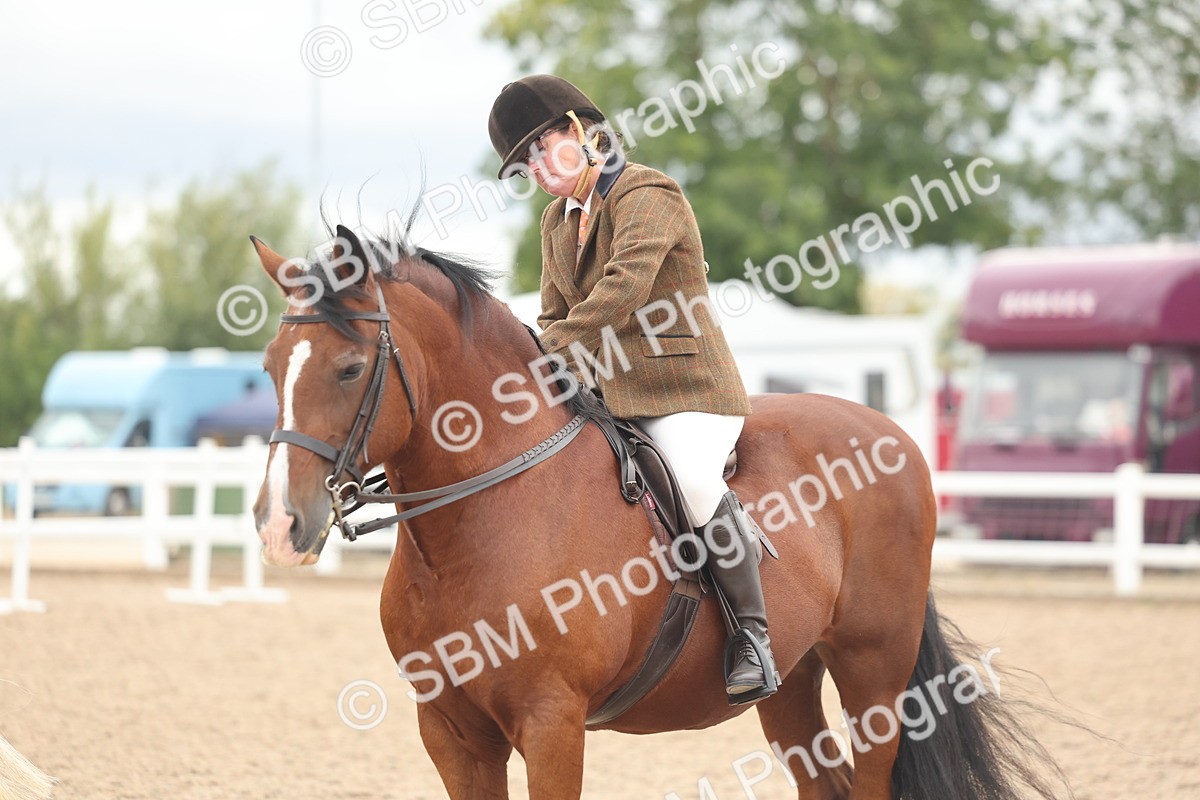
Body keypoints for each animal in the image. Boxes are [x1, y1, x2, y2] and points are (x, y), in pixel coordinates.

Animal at [249, 224, 1069, 799]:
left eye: (350, 368)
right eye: (267, 367)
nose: (279, 526)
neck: (476, 523)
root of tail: (887, 432)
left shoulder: (552, 723)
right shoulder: (450, 730)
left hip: (876, 672)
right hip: (794, 684)